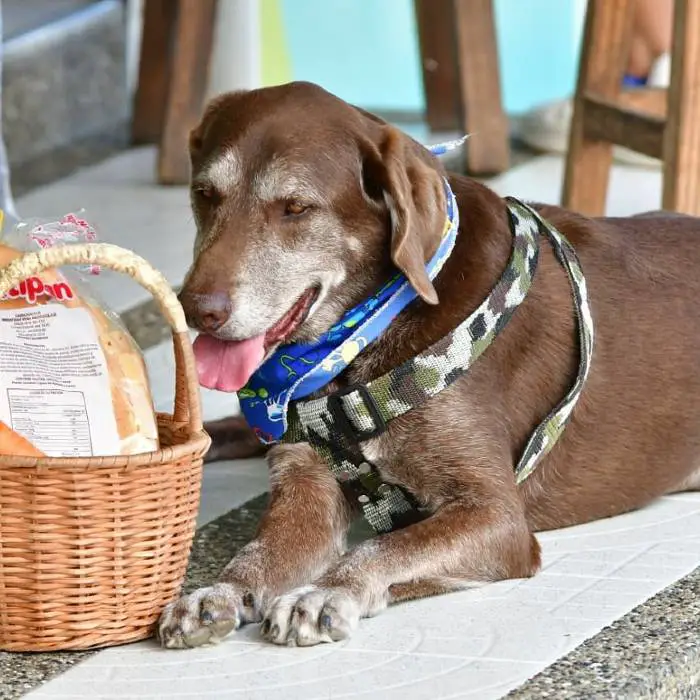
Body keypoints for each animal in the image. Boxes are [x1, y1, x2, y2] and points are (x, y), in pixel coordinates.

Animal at [159, 80, 700, 644]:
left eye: (296, 207)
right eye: (205, 194)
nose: (195, 308)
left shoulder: (497, 517)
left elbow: (385, 546)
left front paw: (324, 591)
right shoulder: (305, 484)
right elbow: (259, 553)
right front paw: (219, 591)